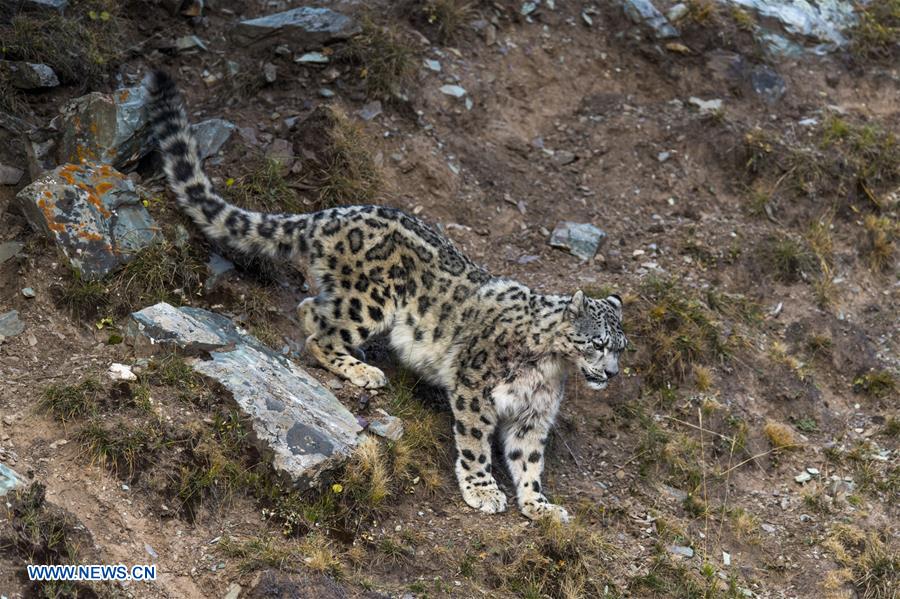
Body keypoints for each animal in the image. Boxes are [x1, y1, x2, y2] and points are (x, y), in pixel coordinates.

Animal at [146, 69, 624, 520]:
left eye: (621, 347)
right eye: (599, 344)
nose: (613, 373)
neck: (549, 367)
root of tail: (327, 214)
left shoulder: (533, 416)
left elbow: (528, 461)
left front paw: (540, 505)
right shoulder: (475, 387)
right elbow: (475, 441)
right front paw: (483, 490)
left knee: (310, 307)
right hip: (370, 302)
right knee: (319, 331)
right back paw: (363, 371)